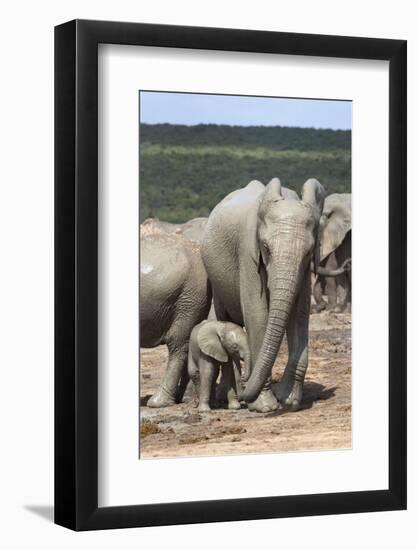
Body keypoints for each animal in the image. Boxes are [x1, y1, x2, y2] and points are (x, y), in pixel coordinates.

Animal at [201, 178, 344, 414]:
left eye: (308, 252)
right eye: (266, 248)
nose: (246, 392)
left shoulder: (304, 269)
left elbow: (299, 315)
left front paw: (289, 400)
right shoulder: (248, 252)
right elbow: (258, 315)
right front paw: (265, 407)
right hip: (216, 278)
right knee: (227, 320)